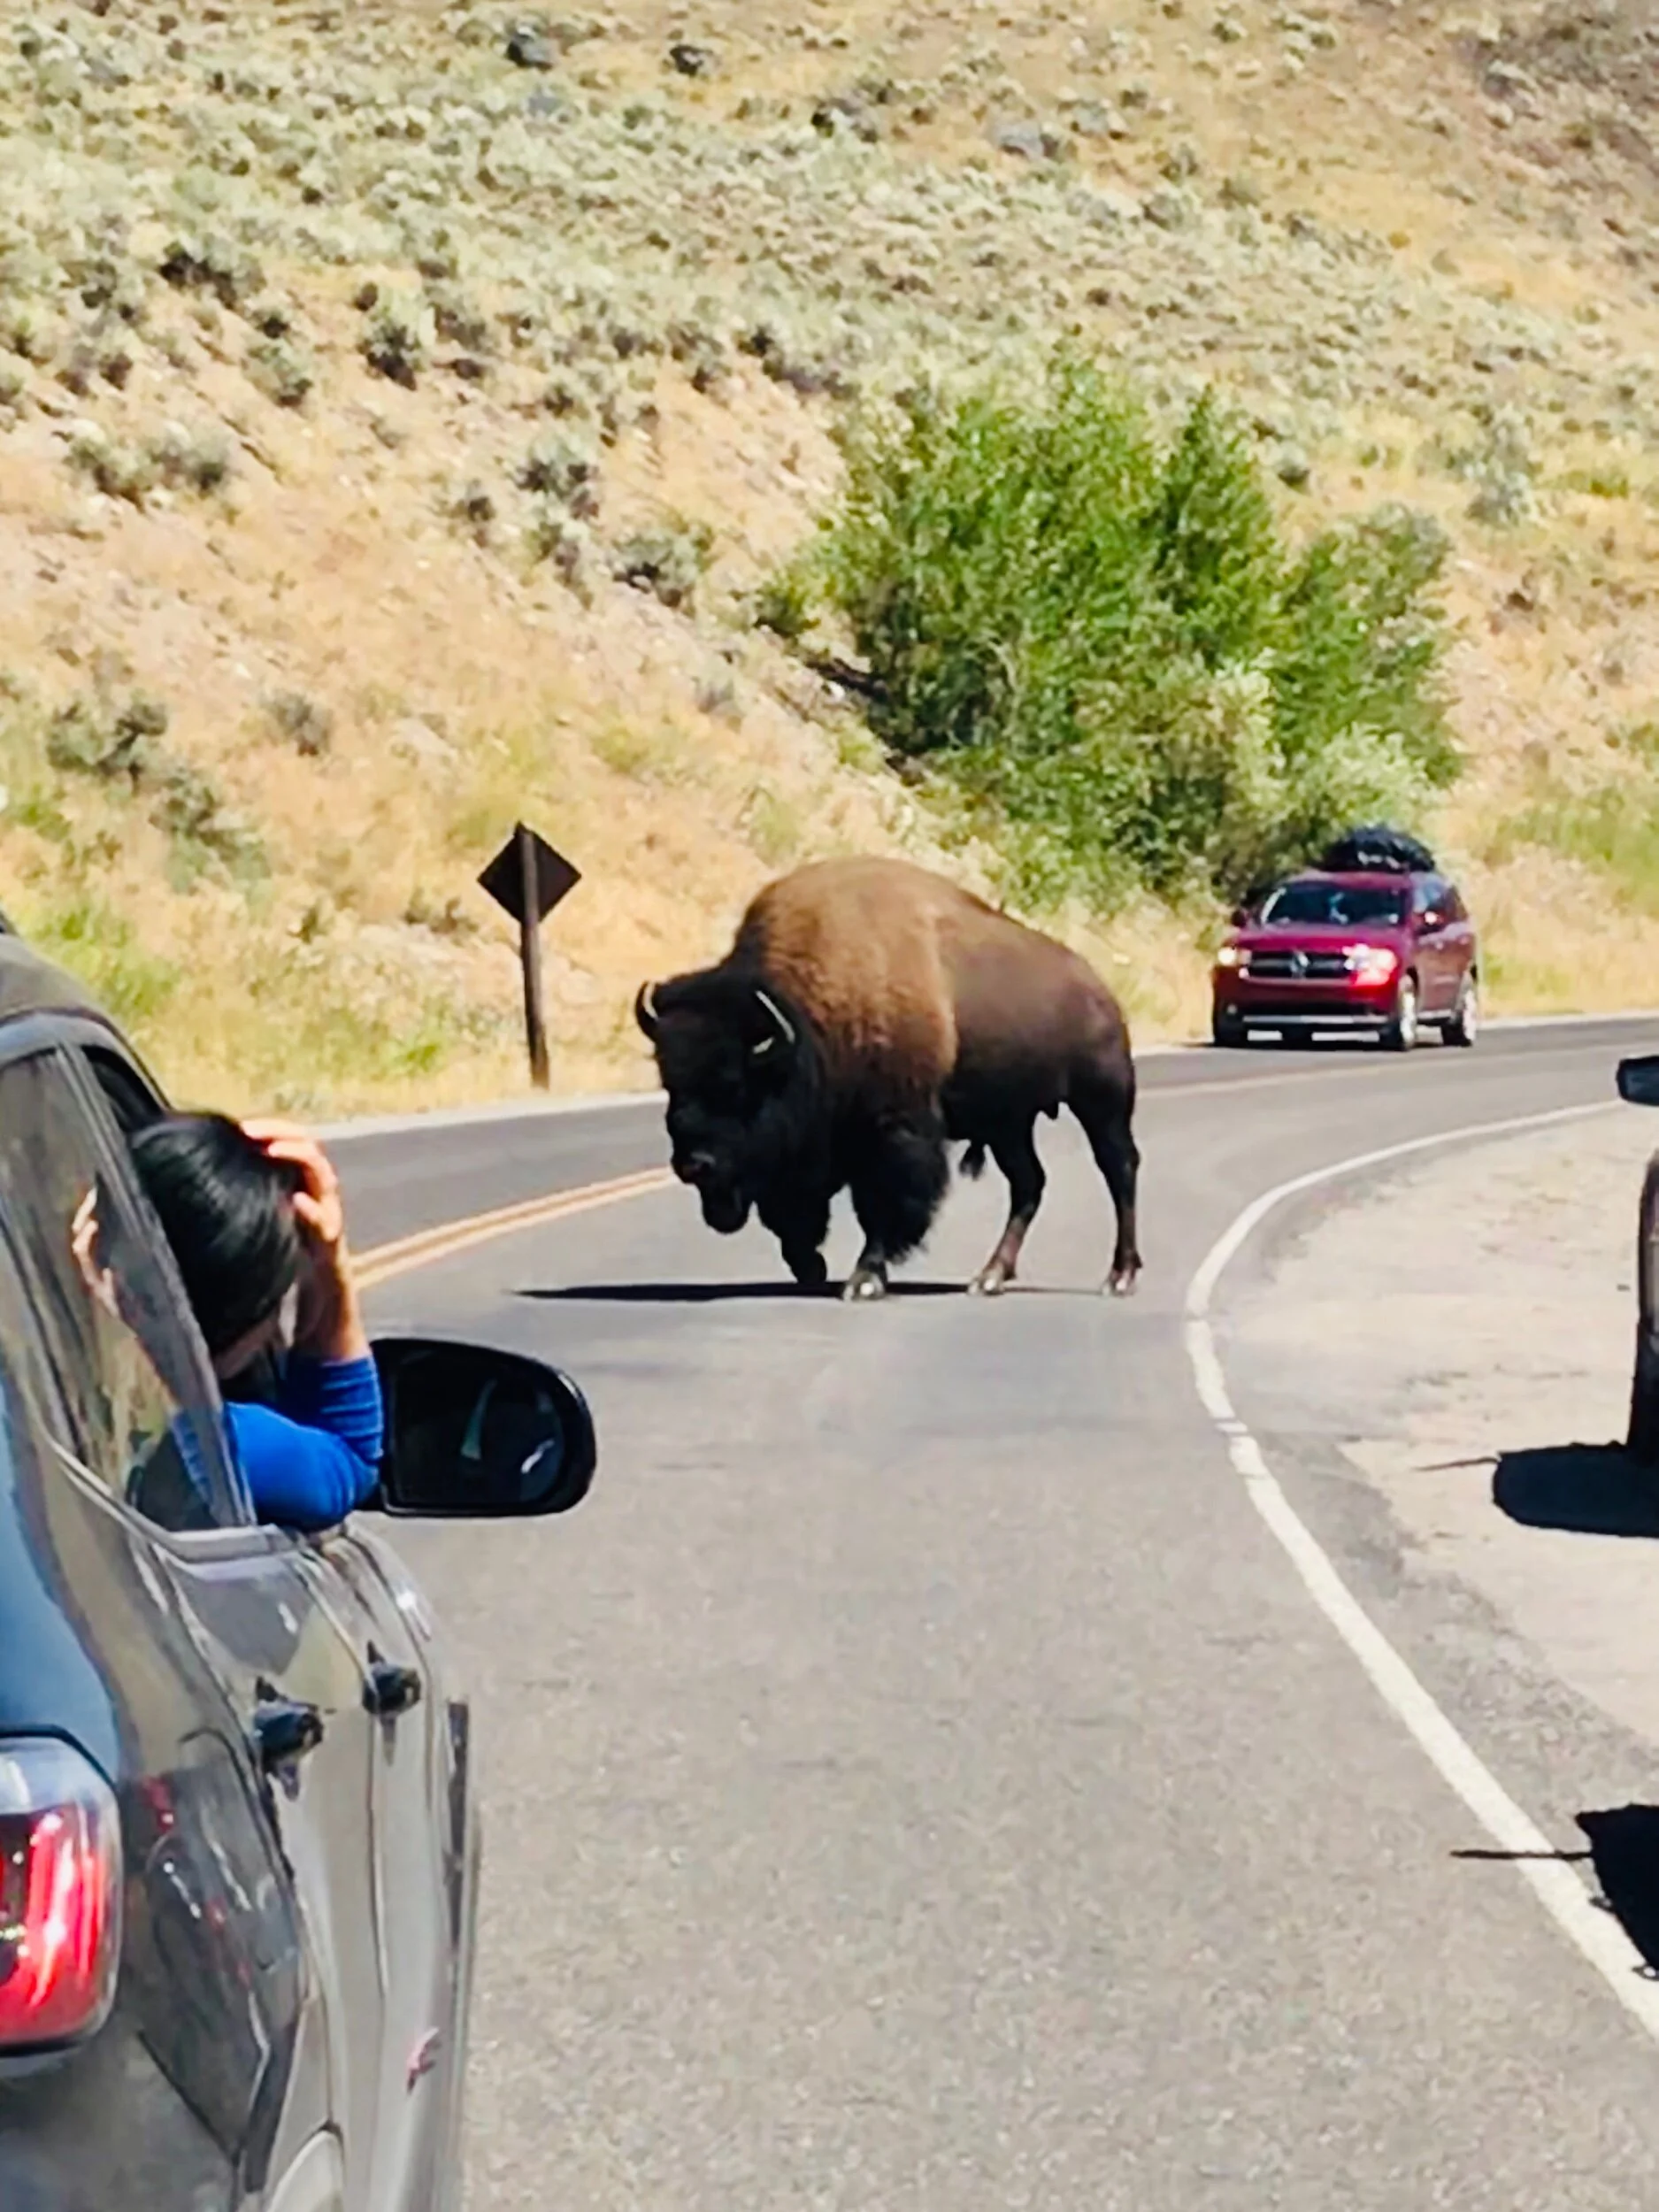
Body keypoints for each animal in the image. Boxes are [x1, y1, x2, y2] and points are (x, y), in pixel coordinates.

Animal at [633, 856, 1142, 1301]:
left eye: (736, 1085)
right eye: (670, 1083)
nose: (694, 1164)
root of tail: (1101, 991)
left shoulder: (892, 1136)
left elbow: (882, 1207)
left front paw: (863, 1281)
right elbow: (794, 1214)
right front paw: (812, 1268)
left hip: (1101, 1103)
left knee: (1119, 1169)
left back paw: (1118, 1277)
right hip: (1009, 1126)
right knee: (1028, 1184)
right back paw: (990, 1277)